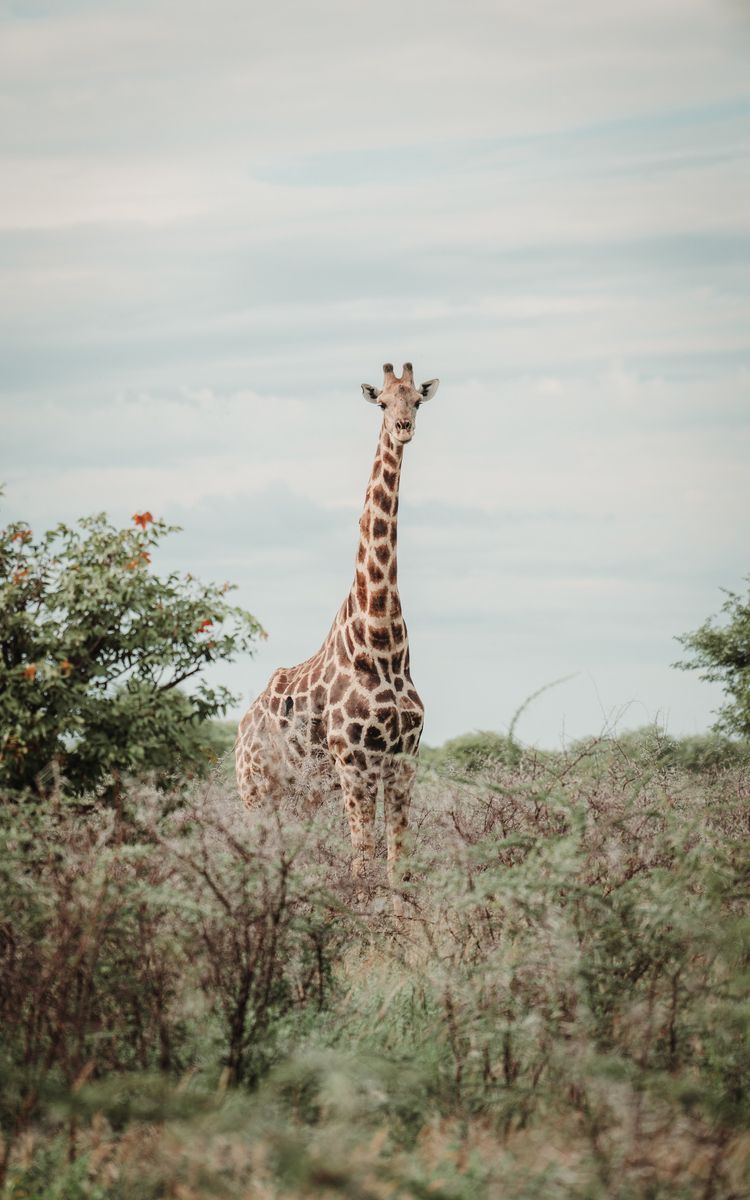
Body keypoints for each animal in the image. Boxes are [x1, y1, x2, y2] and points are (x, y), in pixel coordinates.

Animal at [235, 360, 439, 902]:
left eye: (417, 400)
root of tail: (240, 731)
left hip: (302, 795)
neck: (382, 640)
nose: (403, 428)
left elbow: (397, 867)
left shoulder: (403, 762)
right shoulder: (354, 764)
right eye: (382, 402)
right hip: (255, 793)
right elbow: (362, 867)